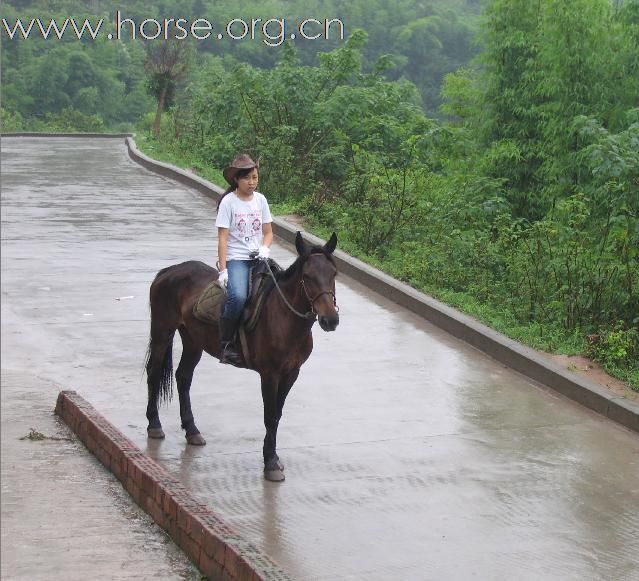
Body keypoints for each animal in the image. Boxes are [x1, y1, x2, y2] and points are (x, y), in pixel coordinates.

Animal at [145, 231, 340, 480]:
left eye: (333, 274)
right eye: (307, 276)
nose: (330, 320)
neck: (284, 317)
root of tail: (168, 272)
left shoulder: (291, 373)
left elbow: (277, 415)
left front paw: (272, 457)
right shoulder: (270, 374)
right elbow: (270, 415)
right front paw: (270, 463)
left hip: (193, 340)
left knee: (183, 377)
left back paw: (192, 430)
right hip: (162, 332)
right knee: (153, 373)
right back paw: (154, 425)